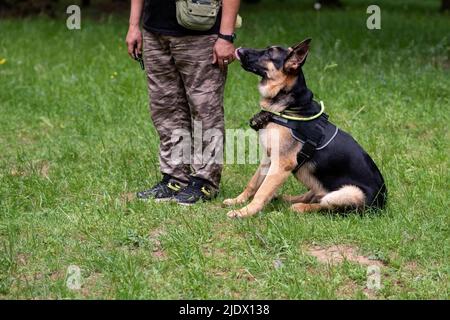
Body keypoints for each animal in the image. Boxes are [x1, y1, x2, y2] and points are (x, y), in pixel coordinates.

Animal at [225, 38, 386, 218]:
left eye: (269, 53)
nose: (238, 49)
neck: (288, 107)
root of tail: (383, 202)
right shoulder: (268, 158)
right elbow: (254, 183)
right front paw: (238, 201)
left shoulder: (281, 165)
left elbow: (262, 191)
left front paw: (245, 212)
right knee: (314, 195)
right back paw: (286, 199)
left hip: (348, 193)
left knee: (325, 206)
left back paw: (298, 208)